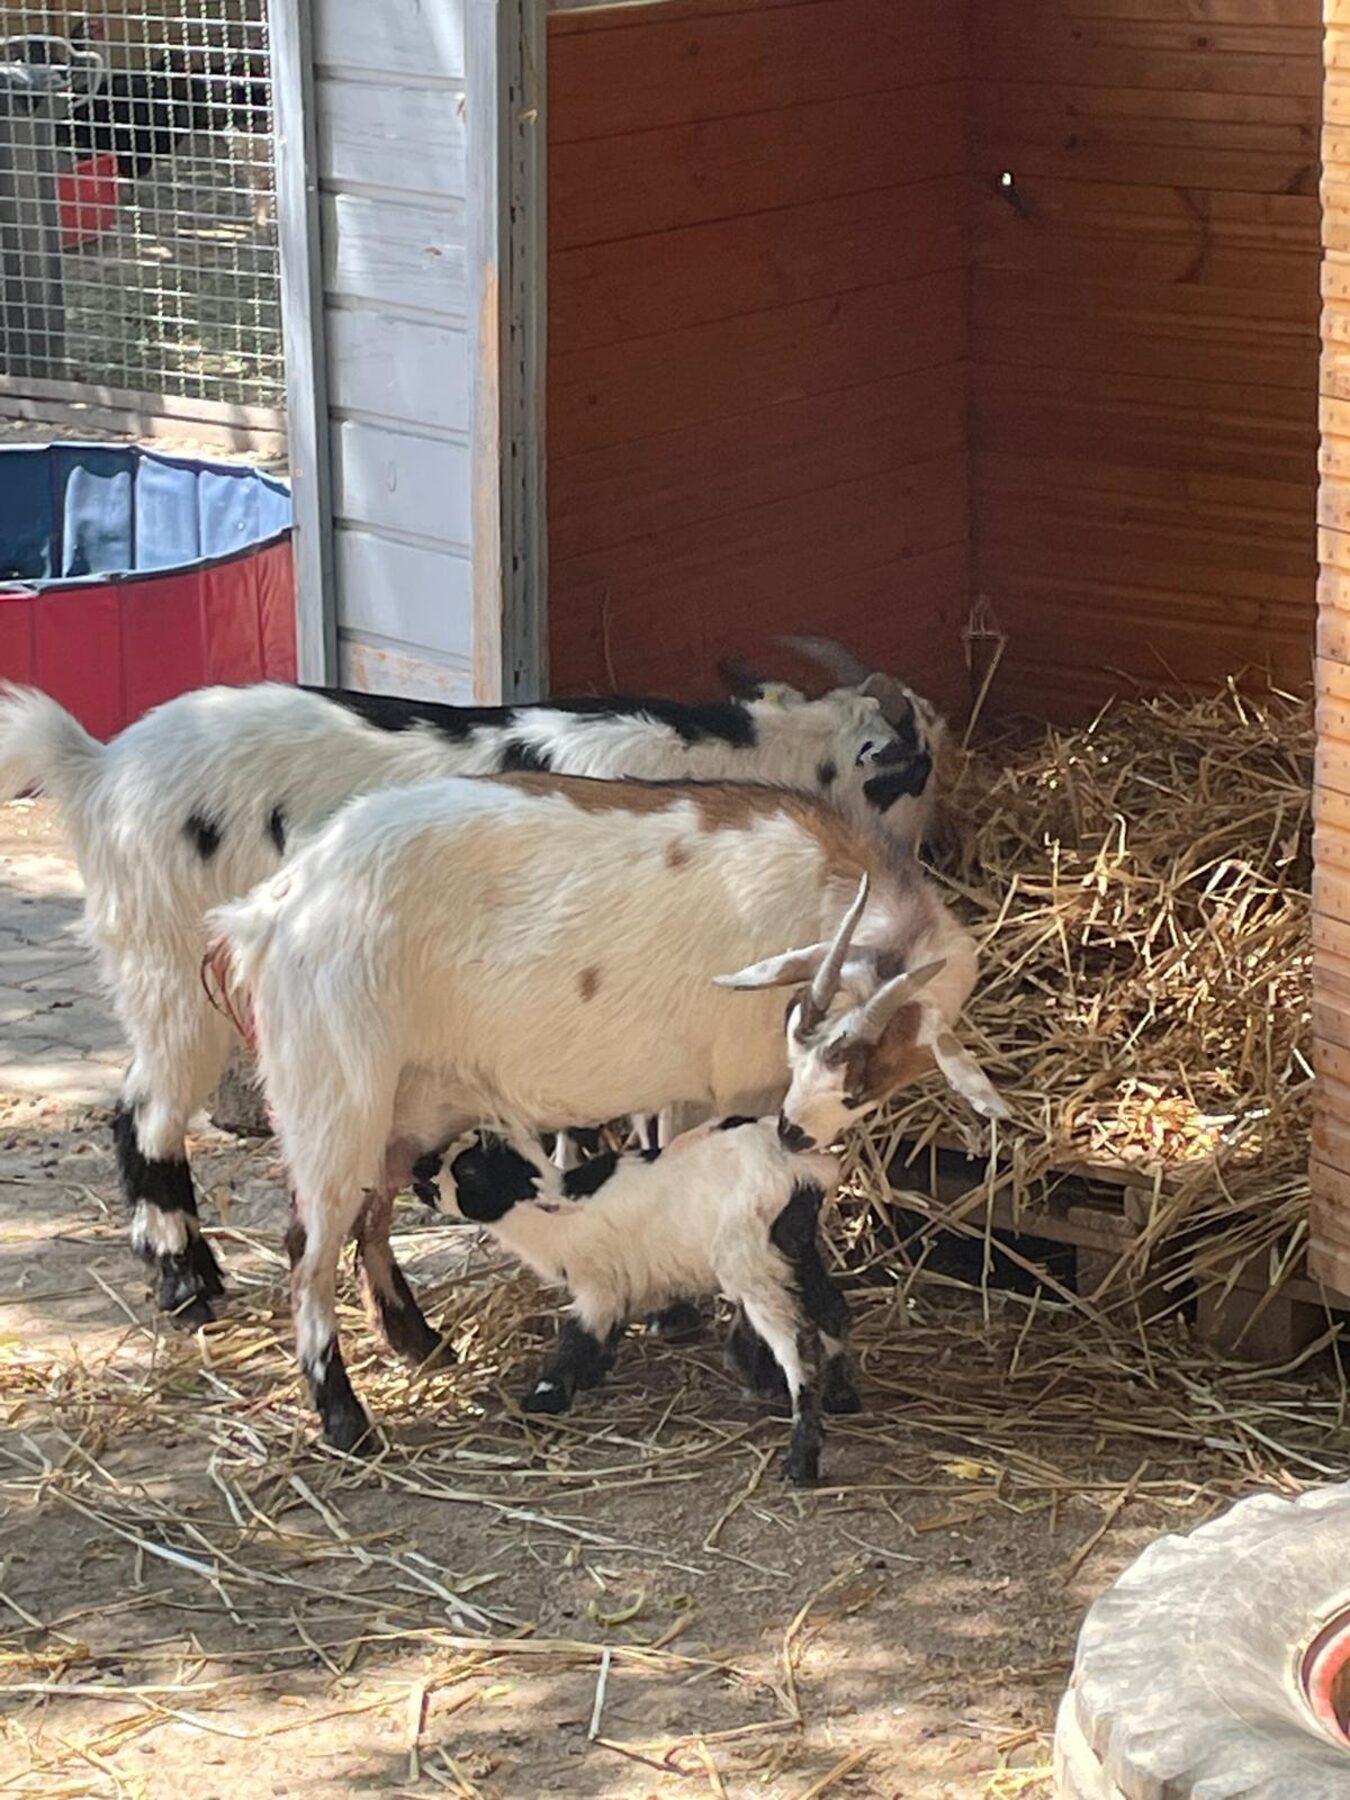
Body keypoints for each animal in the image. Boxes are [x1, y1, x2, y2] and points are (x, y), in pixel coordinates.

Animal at [0, 647, 942, 1325]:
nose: (936, 852)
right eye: (917, 766)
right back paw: (188, 1283)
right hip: (170, 972)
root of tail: (96, 765)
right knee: (147, 1116)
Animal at [206, 777, 1002, 1449]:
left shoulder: (694, 1093)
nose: (796, 1126)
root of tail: (274, 906)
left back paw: (418, 1342)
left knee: (369, 1215)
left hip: (401, 1103)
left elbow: (672, 1154)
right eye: (792, 1027)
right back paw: (345, 1419)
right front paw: (754, 1356)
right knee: (309, 1244)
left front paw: (679, 1317)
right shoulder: (745, 1089)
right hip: (335, 1089)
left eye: (866, 1079)